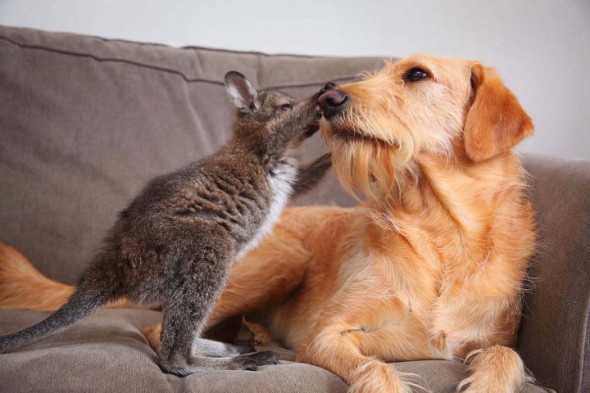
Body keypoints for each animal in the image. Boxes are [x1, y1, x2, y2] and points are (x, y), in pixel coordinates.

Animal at [0, 55, 536, 392]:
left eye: (417, 75)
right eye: (282, 103)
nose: (336, 98)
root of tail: (108, 272)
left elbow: (505, 357)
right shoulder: (328, 333)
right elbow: (376, 371)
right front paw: (318, 100)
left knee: (181, 336)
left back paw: (240, 346)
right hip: (226, 257)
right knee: (170, 349)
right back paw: (237, 357)